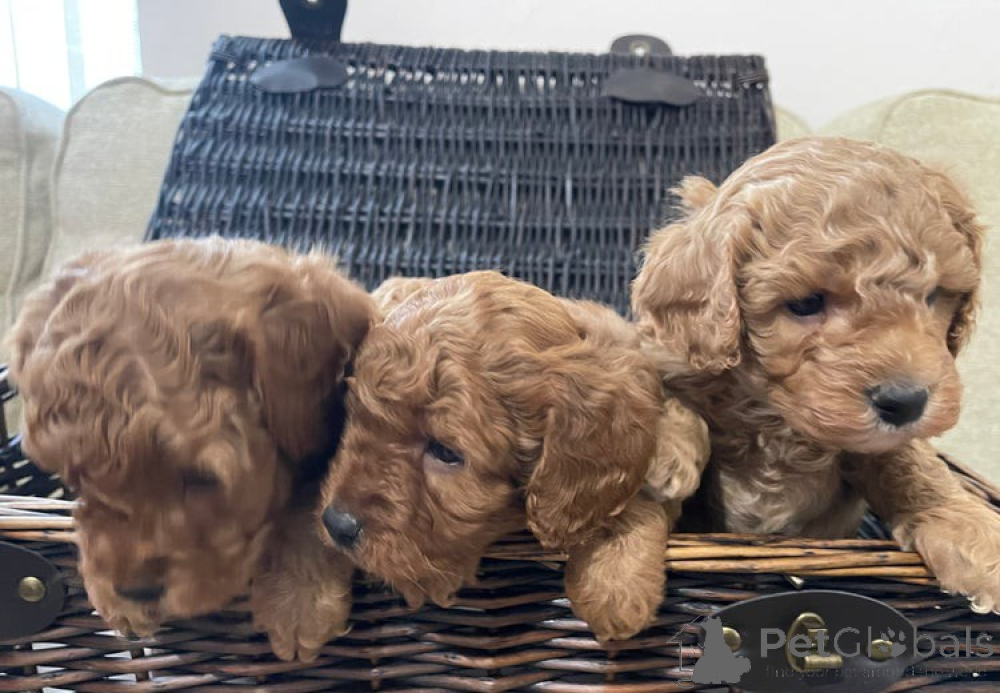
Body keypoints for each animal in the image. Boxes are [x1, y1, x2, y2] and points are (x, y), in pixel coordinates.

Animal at [633, 136, 1000, 613]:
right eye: (806, 303)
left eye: (934, 296)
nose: (906, 402)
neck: (774, 418)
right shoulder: (670, 354)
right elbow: (664, 386)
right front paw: (664, 452)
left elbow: (912, 462)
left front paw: (976, 535)